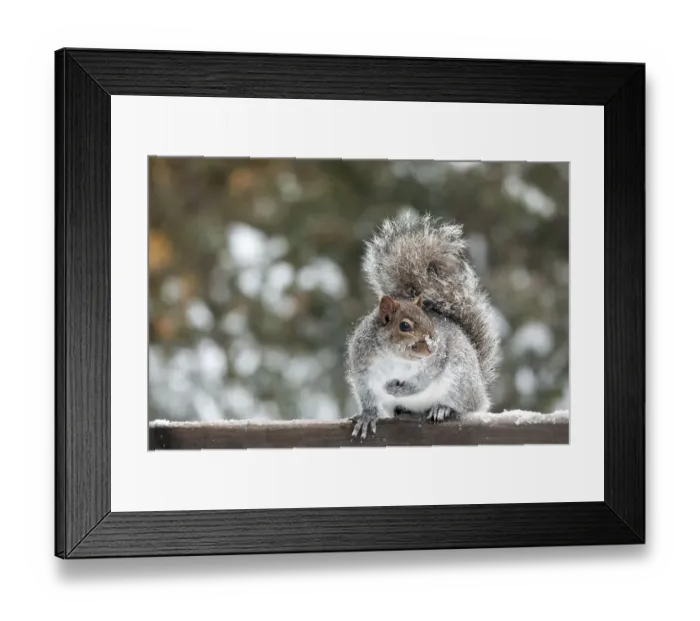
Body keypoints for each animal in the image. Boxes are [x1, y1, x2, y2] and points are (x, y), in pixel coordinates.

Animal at [345, 212, 501, 439]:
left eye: (429, 320)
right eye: (404, 326)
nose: (432, 346)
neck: (394, 357)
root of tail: (480, 384)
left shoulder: (435, 362)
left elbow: (423, 381)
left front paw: (398, 389)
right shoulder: (363, 367)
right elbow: (366, 394)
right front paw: (367, 416)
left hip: (461, 380)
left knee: (466, 407)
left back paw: (443, 409)